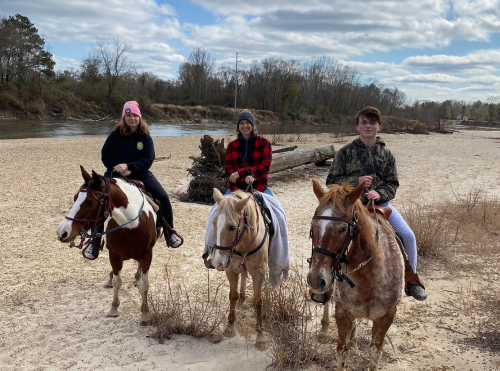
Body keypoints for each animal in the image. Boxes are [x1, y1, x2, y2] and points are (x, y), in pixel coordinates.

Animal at [56, 167, 158, 326]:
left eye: (90, 202)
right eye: (75, 197)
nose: (62, 231)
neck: (131, 226)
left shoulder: (147, 253)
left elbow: (144, 284)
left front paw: (145, 314)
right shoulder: (114, 256)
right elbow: (117, 282)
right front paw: (113, 309)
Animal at [211, 189, 270, 352]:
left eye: (232, 227)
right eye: (214, 223)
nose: (217, 263)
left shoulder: (259, 272)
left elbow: (258, 301)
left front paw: (261, 337)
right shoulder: (230, 269)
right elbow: (232, 296)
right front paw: (230, 327)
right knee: (243, 275)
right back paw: (242, 297)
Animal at [306, 179, 404, 370]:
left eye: (343, 229)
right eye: (313, 227)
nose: (315, 280)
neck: (369, 280)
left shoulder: (386, 317)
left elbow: (375, 353)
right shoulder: (343, 314)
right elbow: (342, 352)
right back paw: (324, 330)